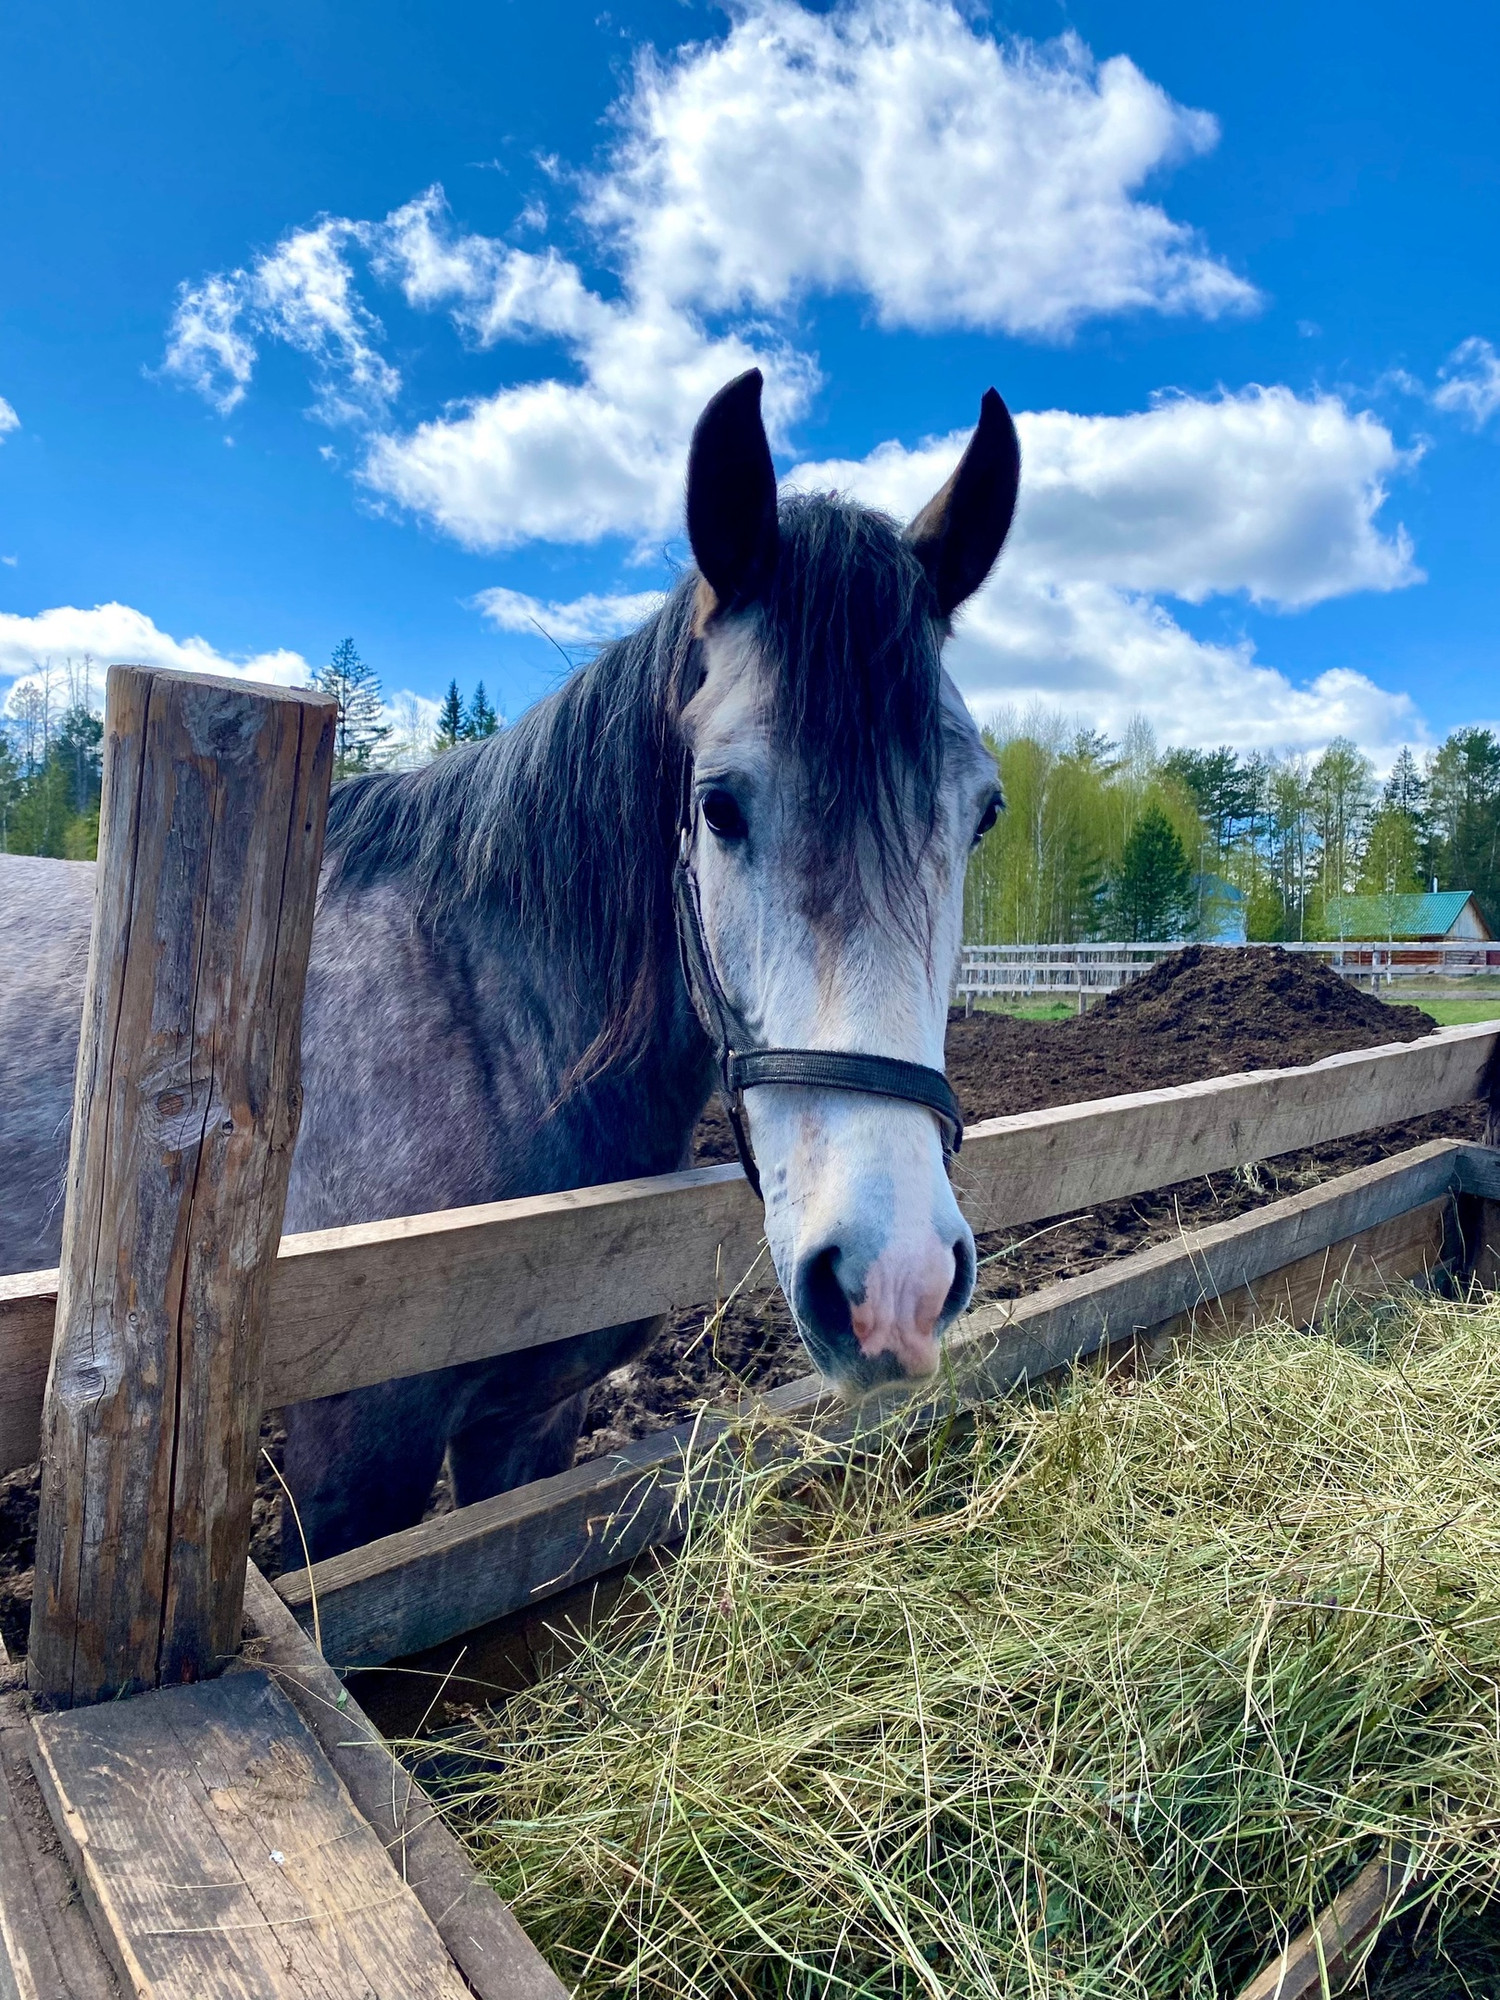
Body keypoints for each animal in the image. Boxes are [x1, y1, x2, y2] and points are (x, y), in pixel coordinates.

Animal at [0, 372, 1024, 1560]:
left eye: (983, 810)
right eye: (721, 804)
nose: (892, 1283)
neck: (486, 1026)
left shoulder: (533, 1419)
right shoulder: (357, 1455)